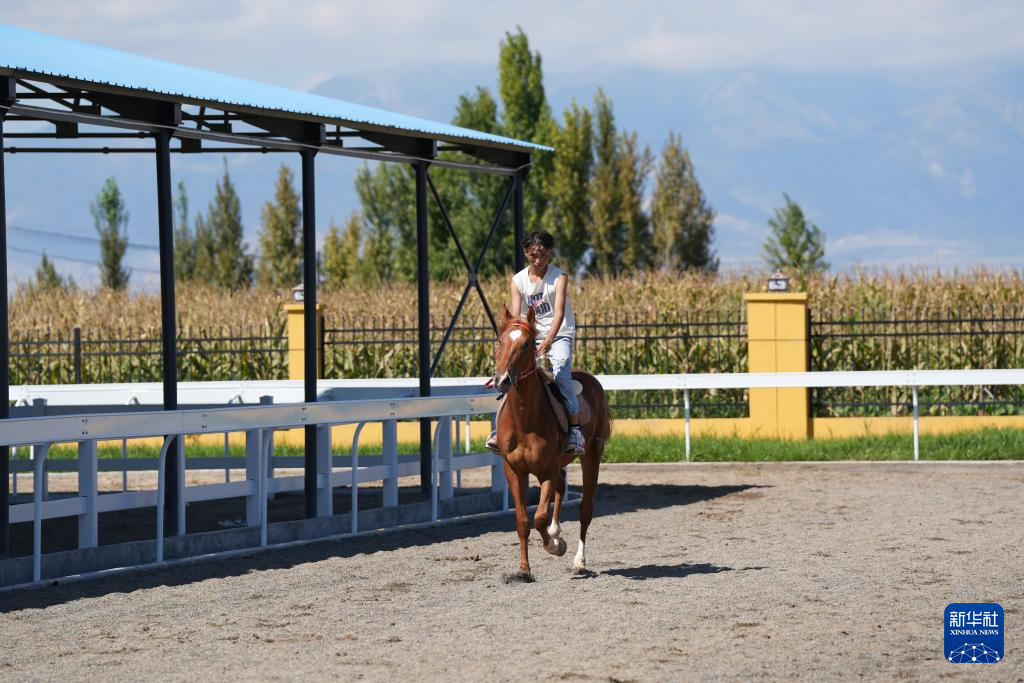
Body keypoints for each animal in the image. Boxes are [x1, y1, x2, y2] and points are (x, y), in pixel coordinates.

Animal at [493, 307, 610, 581]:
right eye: (500, 342)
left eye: (526, 344)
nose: (502, 380)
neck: (525, 421)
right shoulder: (513, 470)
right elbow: (523, 521)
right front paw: (524, 569)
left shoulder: (547, 469)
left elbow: (539, 517)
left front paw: (555, 547)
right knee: (560, 489)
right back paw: (557, 532)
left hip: (592, 456)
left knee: (585, 509)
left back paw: (578, 560)